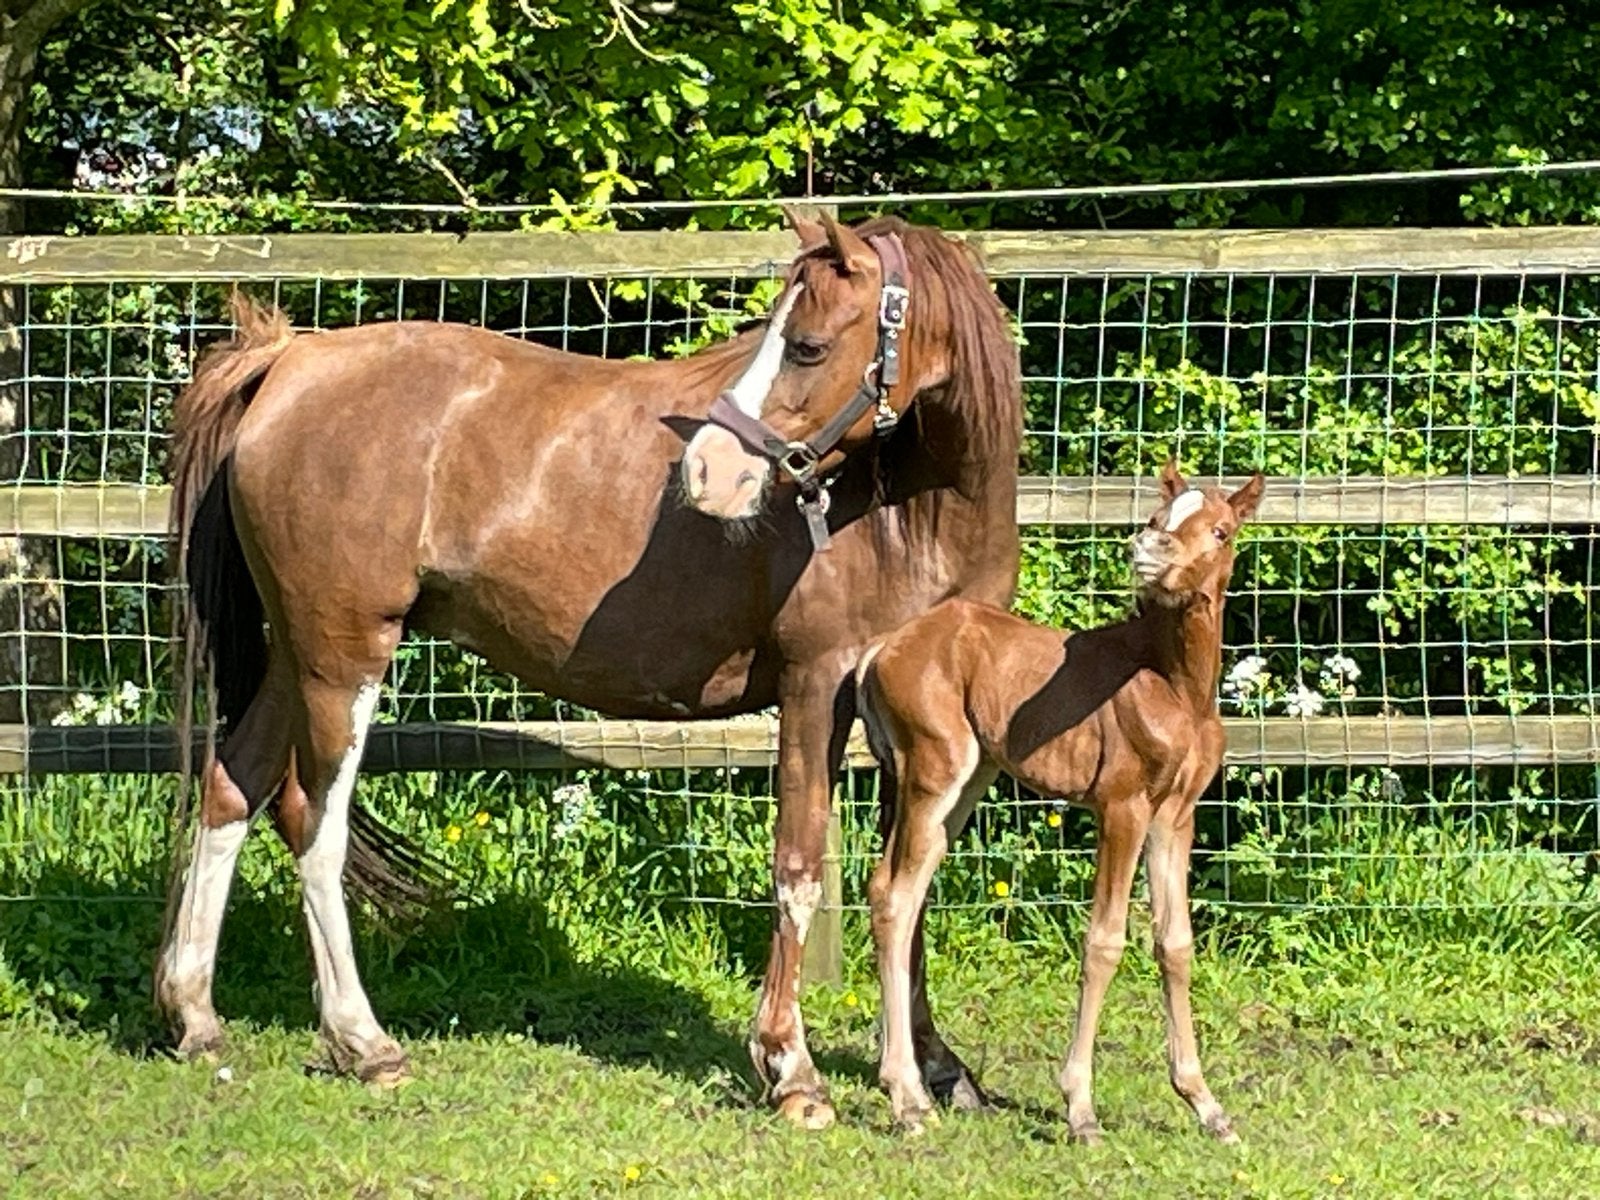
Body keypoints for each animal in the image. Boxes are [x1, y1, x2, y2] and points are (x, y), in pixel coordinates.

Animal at [156, 210, 1022, 1129]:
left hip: (297, 654)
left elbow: (909, 884)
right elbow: (800, 867)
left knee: (233, 789)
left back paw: (196, 1015)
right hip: (344, 653)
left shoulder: (921, 725)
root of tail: (289, 362)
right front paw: (792, 1072)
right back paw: (365, 1042)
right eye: (783, 334)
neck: (913, 515)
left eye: (811, 345)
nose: (708, 471)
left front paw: (937, 1070)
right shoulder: (815, 688)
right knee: (315, 821)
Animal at [856, 461, 1264, 1139]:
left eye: (1222, 531)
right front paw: (1080, 1108)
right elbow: (1105, 941)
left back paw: (917, 1086)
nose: (1149, 550)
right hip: (934, 769)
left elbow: (1175, 942)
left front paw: (1206, 1105)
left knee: (906, 892)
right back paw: (908, 1101)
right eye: (1158, 517)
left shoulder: (1175, 816)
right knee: (892, 893)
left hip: (967, 780)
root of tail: (879, 649)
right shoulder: (1123, 807)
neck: (1176, 687)